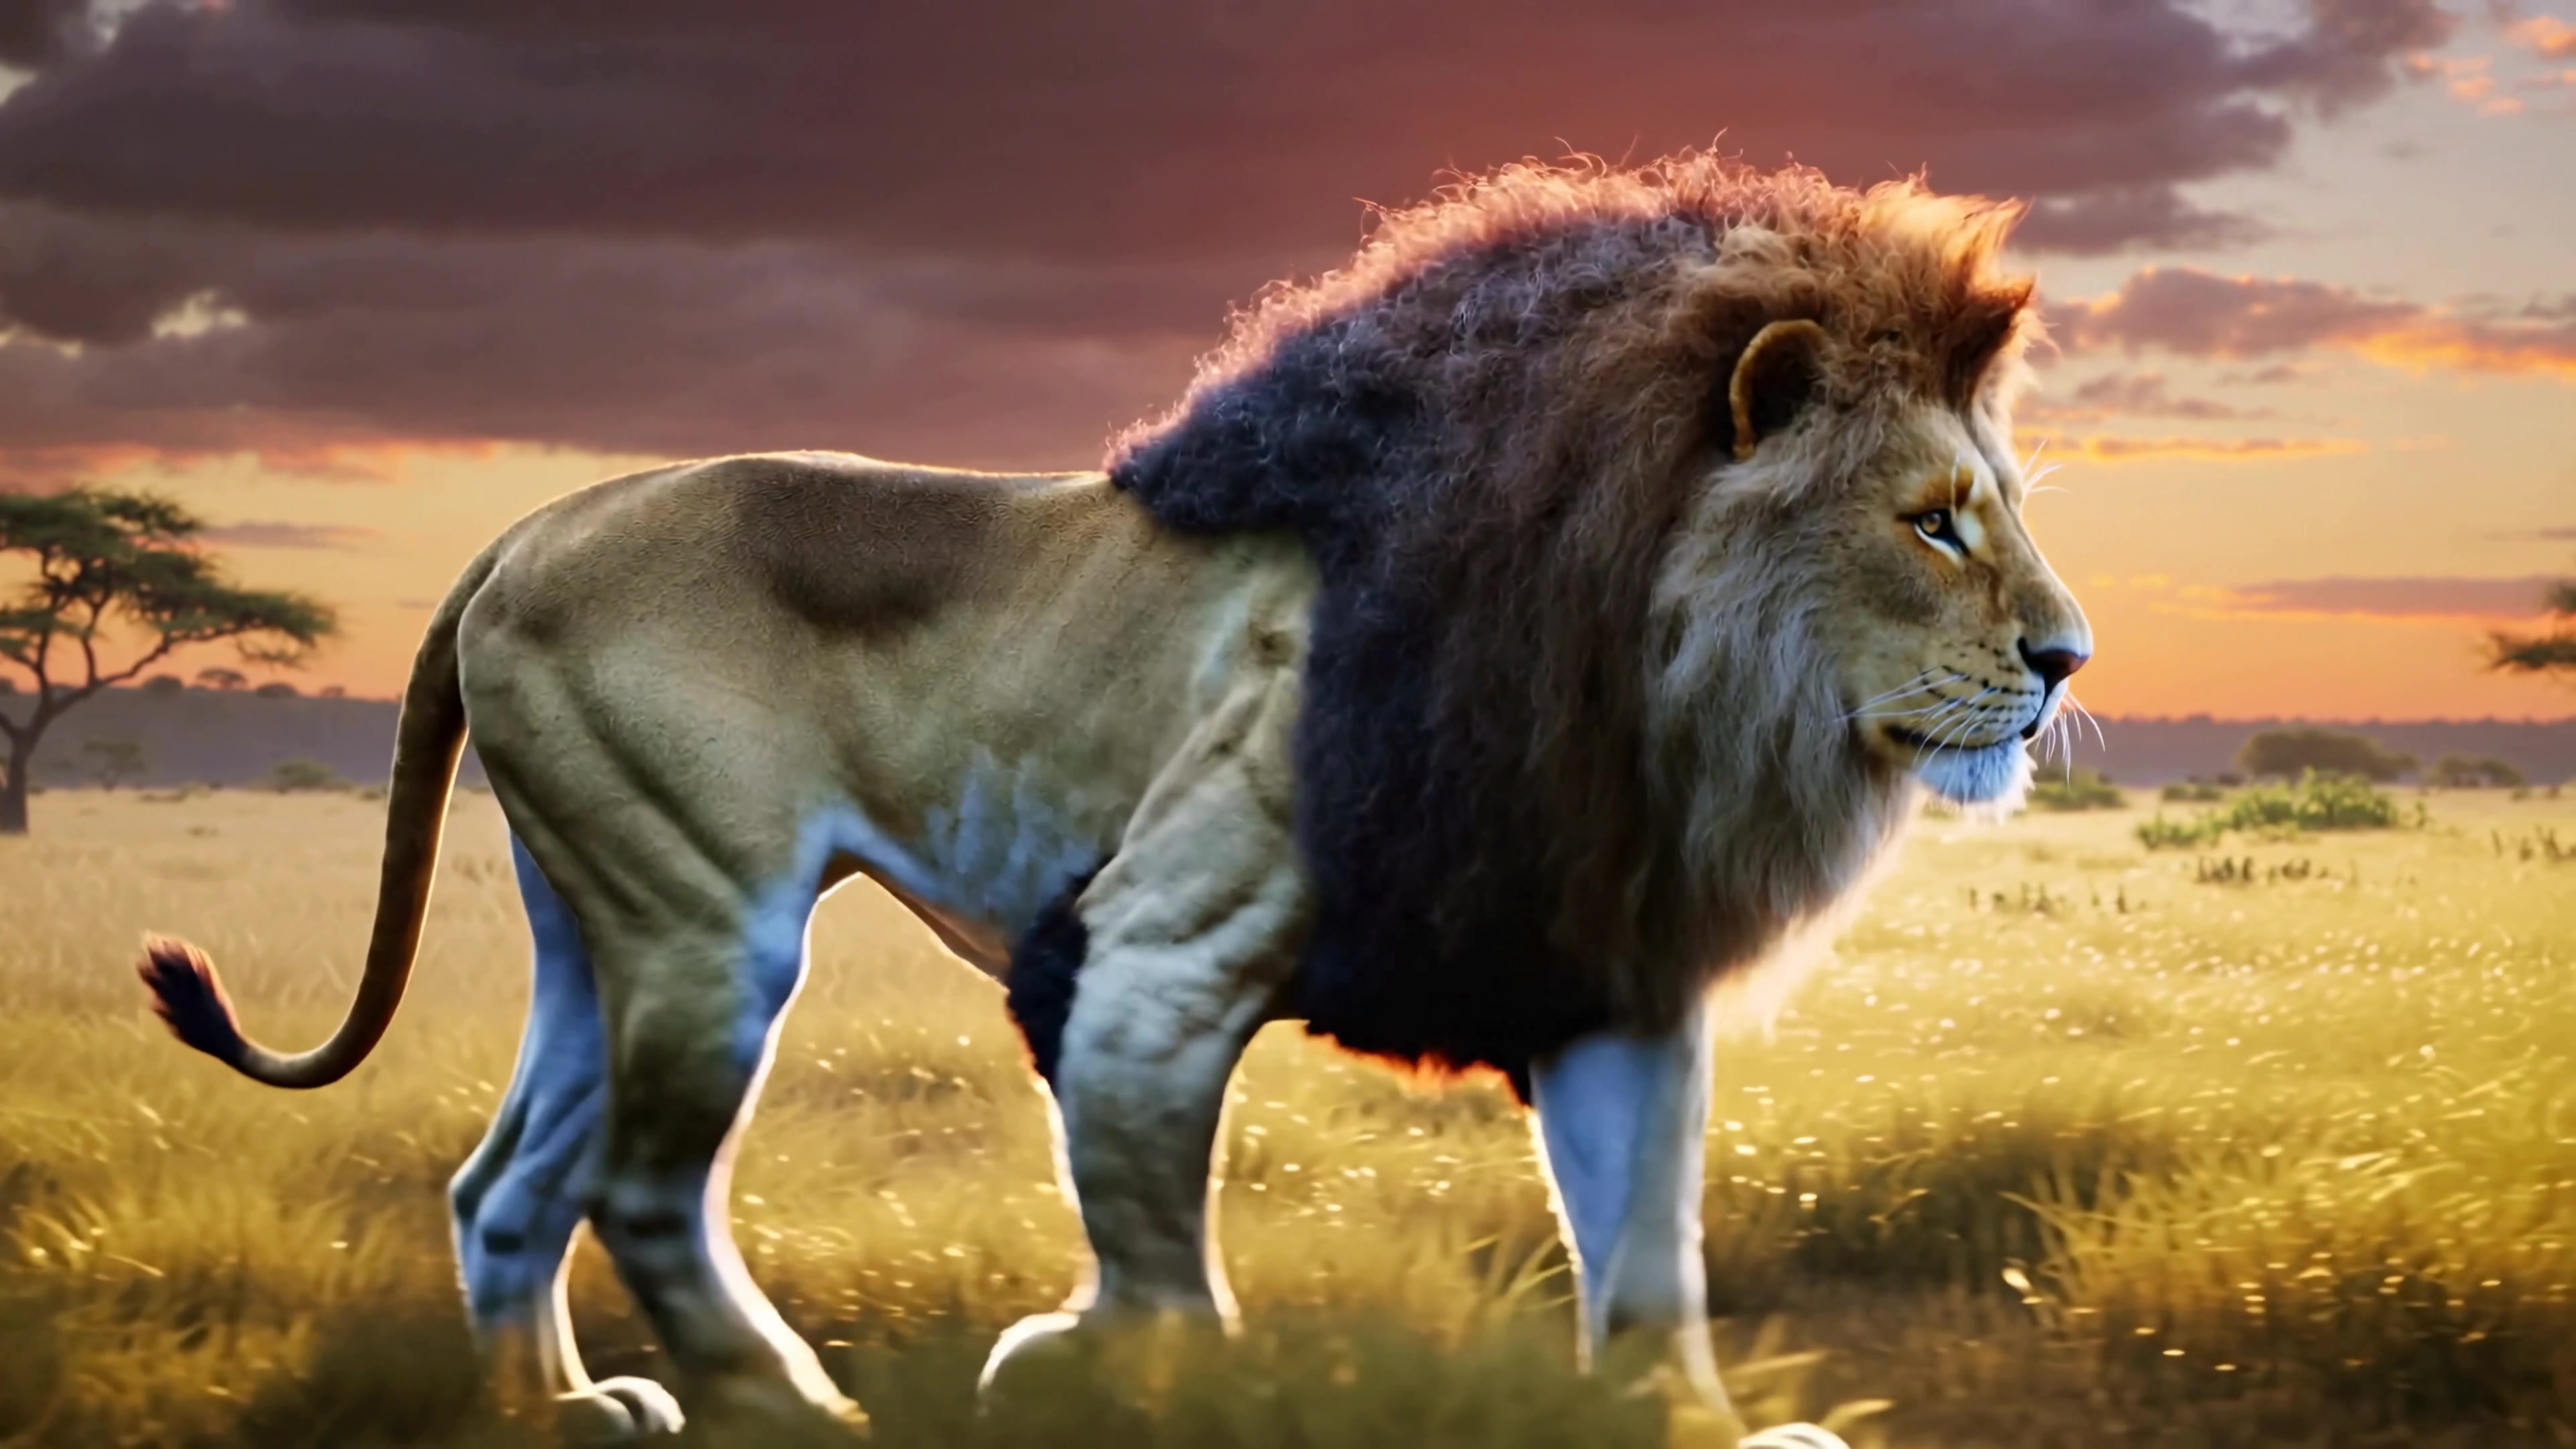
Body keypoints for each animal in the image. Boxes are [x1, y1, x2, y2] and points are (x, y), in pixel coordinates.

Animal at [136, 156, 2090, 1449]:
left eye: (1995, 505)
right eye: (1934, 521)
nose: (2069, 656)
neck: (1656, 672)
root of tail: (518, 530)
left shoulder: (1601, 976)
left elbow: (1649, 1255)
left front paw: (1690, 1426)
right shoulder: (1149, 952)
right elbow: (1156, 1250)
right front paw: (1124, 1377)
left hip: (591, 919)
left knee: (503, 1184)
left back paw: (557, 1414)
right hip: (708, 920)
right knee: (632, 1188)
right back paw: (805, 1410)